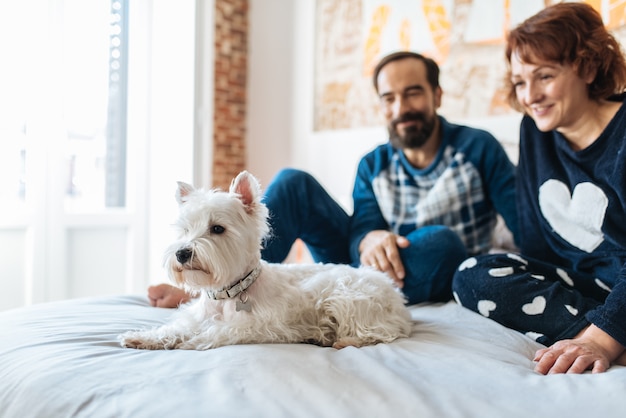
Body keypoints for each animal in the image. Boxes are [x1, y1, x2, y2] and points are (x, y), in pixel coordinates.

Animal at [119, 170, 412, 350]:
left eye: (217, 229)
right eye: (185, 229)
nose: (182, 253)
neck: (228, 294)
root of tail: (397, 296)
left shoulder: (262, 325)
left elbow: (217, 331)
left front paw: (191, 342)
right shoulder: (195, 316)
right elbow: (175, 327)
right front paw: (141, 337)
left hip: (348, 296)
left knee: (382, 332)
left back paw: (340, 340)